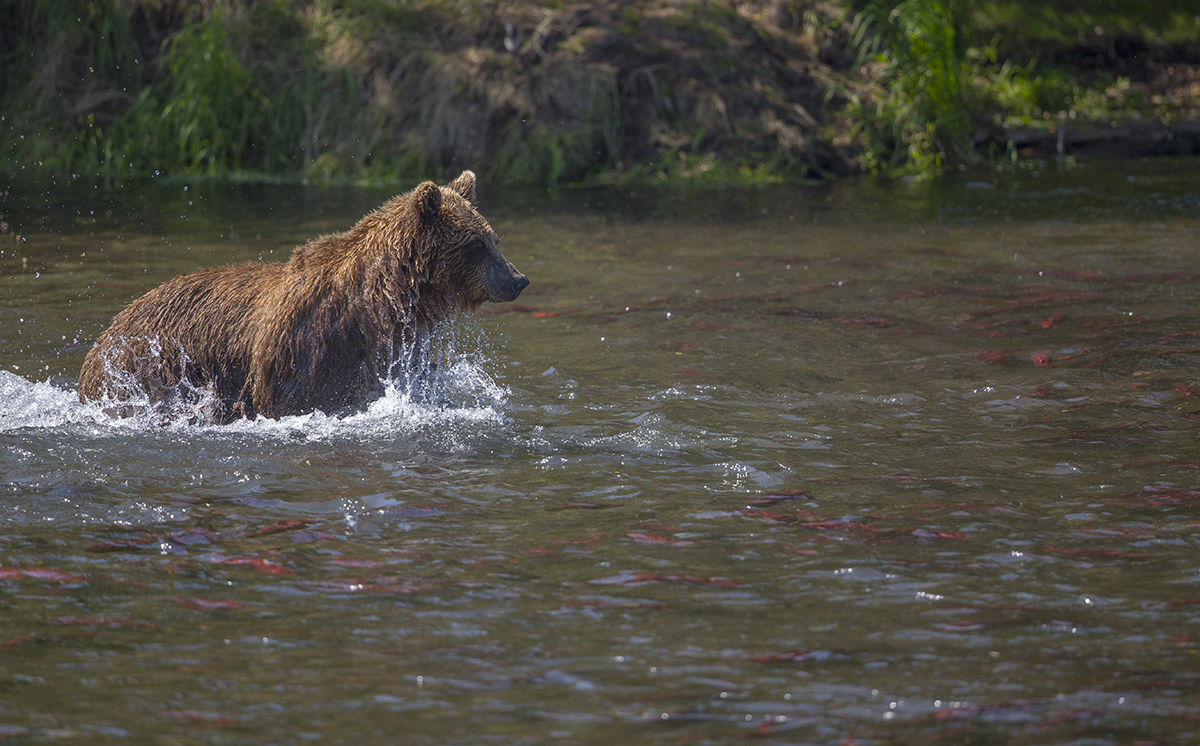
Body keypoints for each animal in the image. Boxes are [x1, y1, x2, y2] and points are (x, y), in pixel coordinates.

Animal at [76, 171, 525, 424]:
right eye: (477, 244)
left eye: (493, 239)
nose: (517, 279)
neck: (382, 300)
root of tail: (102, 339)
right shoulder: (310, 348)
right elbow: (300, 397)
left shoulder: (399, 347)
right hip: (148, 370)